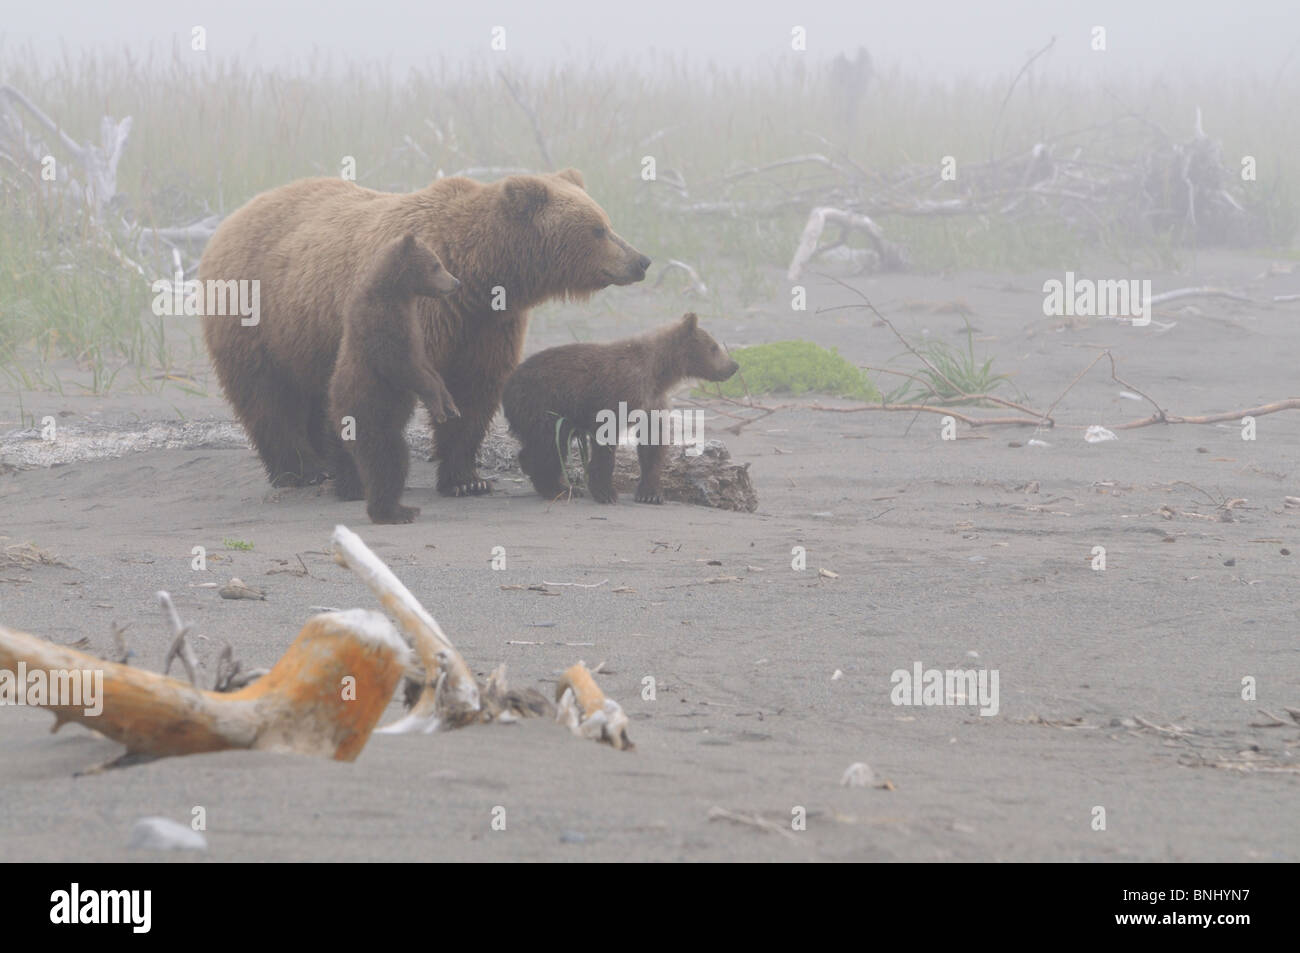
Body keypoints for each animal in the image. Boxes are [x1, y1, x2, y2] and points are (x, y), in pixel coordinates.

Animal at [198, 169, 650, 493]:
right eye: (598, 229)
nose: (641, 260)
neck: (480, 274)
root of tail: (232, 218)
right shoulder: (411, 311)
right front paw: (359, 475)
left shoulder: (485, 325)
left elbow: (475, 391)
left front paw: (467, 479)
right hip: (253, 314)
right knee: (266, 395)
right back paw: (300, 470)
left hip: (301, 334)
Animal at [328, 234, 462, 524]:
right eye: (436, 265)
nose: (456, 282)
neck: (400, 294)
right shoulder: (382, 323)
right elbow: (402, 367)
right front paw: (438, 406)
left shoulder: (415, 328)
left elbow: (426, 366)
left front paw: (451, 404)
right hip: (369, 415)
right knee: (385, 460)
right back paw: (390, 512)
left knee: (397, 461)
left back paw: (404, 508)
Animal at [502, 312, 739, 504]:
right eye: (714, 347)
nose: (733, 366)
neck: (658, 372)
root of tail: (507, 386)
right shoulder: (618, 393)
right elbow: (605, 441)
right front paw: (606, 492)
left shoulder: (653, 401)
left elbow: (652, 443)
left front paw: (650, 493)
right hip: (544, 403)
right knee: (551, 443)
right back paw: (556, 488)